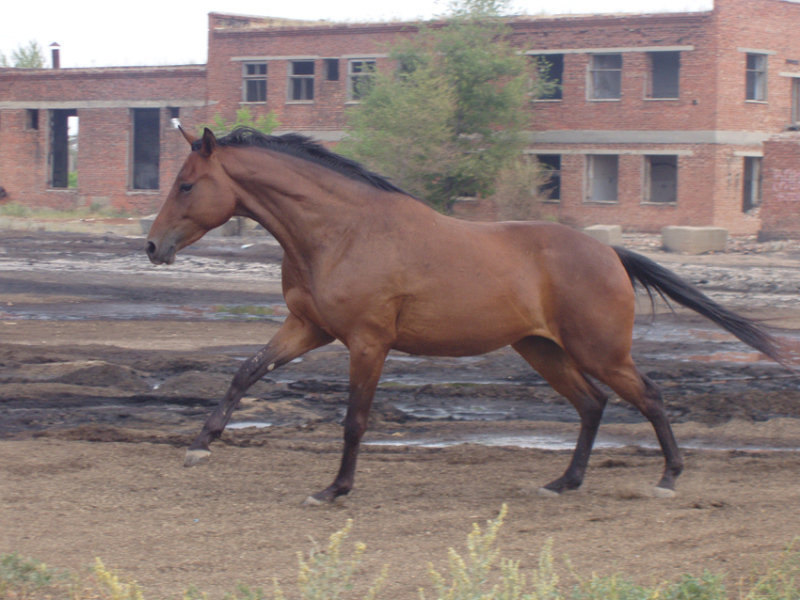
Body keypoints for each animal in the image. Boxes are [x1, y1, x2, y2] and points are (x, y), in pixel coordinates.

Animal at [147, 129, 784, 504]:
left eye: (186, 184)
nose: (153, 248)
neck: (340, 232)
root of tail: (609, 253)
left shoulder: (368, 342)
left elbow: (355, 420)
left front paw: (335, 489)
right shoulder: (309, 328)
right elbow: (245, 372)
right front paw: (200, 444)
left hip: (599, 351)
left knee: (647, 395)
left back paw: (669, 477)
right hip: (541, 349)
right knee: (592, 404)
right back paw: (564, 481)